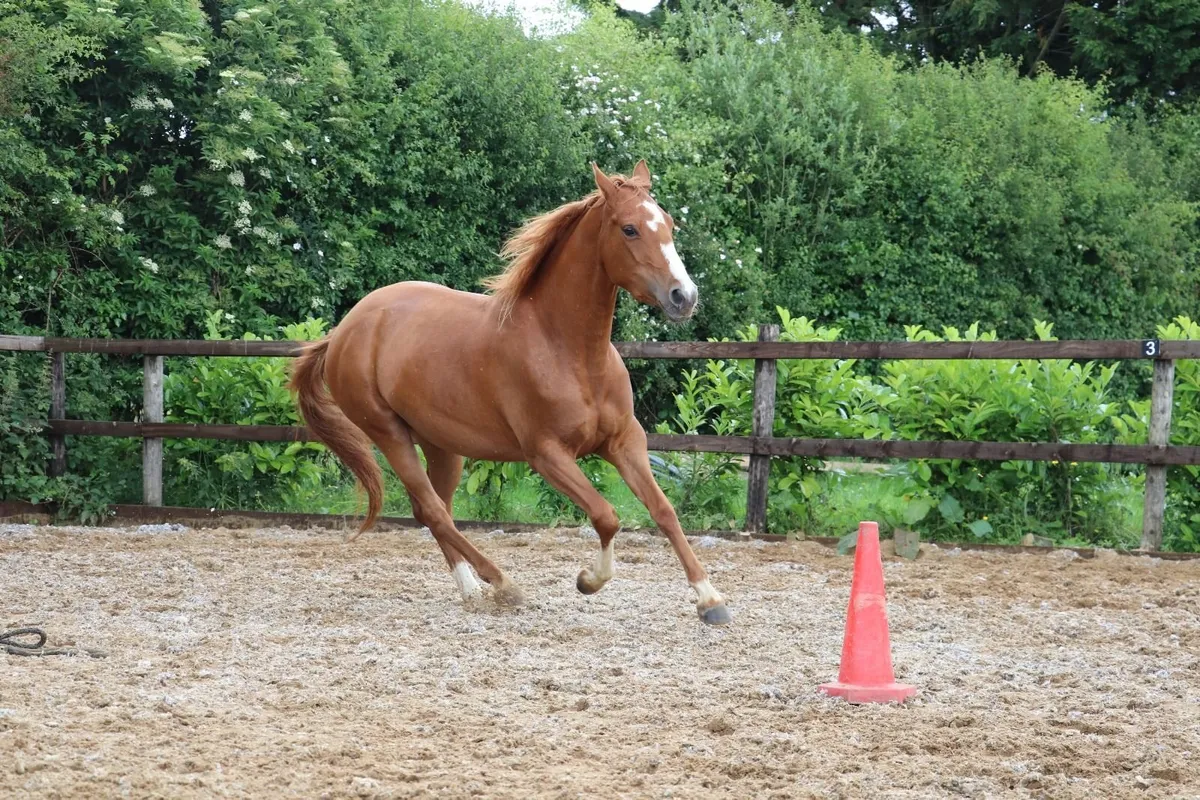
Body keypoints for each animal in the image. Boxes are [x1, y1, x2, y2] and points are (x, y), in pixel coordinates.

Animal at [288, 160, 731, 625]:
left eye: (669, 224)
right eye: (629, 229)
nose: (684, 297)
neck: (569, 350)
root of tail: (344, 330)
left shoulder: (624, 441)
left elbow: (664, 511)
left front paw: (710, 600)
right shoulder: (547, 454)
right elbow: (606, 516)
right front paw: (588, 581)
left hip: (442, 445)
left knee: (435, 510)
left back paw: (470, 590)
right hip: (389, 434)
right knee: (433, 510)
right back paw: (503, 585)